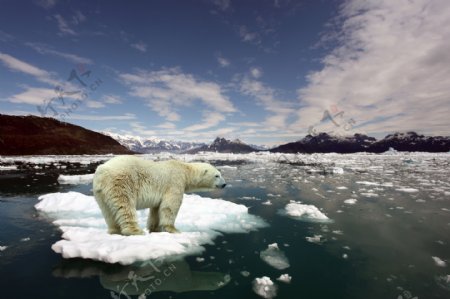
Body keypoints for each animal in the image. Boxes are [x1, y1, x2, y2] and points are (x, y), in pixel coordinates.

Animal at [92, 156, 227, 236]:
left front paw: (155, 229)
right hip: (121, 182)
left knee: (108, 211)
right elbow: (170, 205)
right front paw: (173, 229)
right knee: (125, 206)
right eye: (217, 175)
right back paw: (135, 231)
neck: (185, 169)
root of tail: (102, 171)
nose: (224, 184)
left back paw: (114, 230)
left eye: (220, 174)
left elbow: (156, 209)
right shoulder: (175, 182)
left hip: (100, 192)